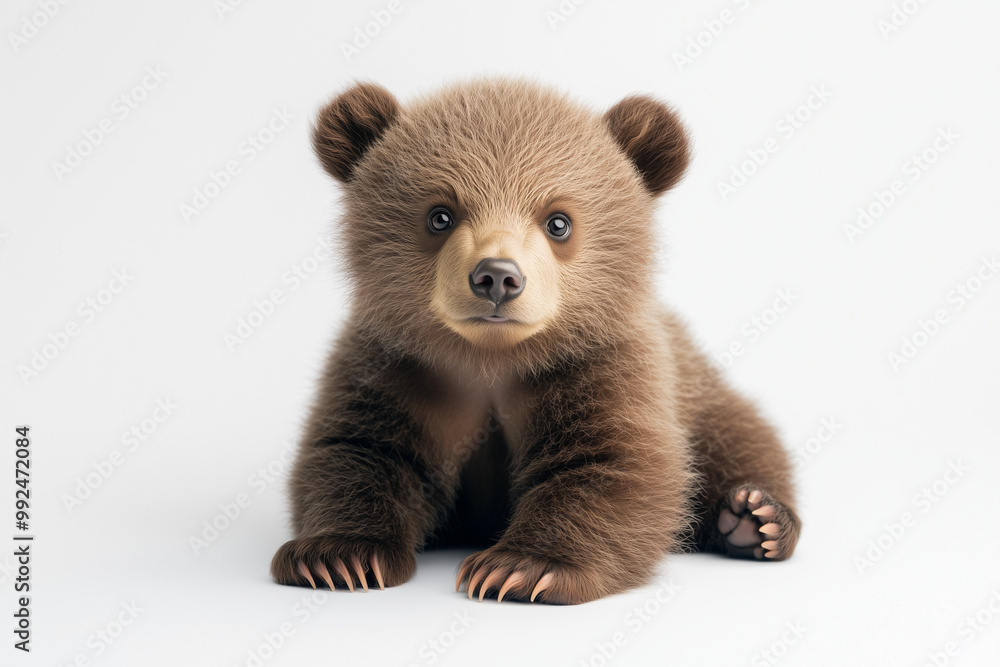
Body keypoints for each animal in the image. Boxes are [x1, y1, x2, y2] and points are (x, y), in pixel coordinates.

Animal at [270, 78, 800, 604]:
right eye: (440, 215)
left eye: (558, 221)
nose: (497, 277)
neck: (489, 358)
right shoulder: (397, 363)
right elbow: (359, 449)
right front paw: (339, 554)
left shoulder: (598, 362)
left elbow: (610, 461)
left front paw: (521, 566)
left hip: (697, 389)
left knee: (742, 433)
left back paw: (755, 517)